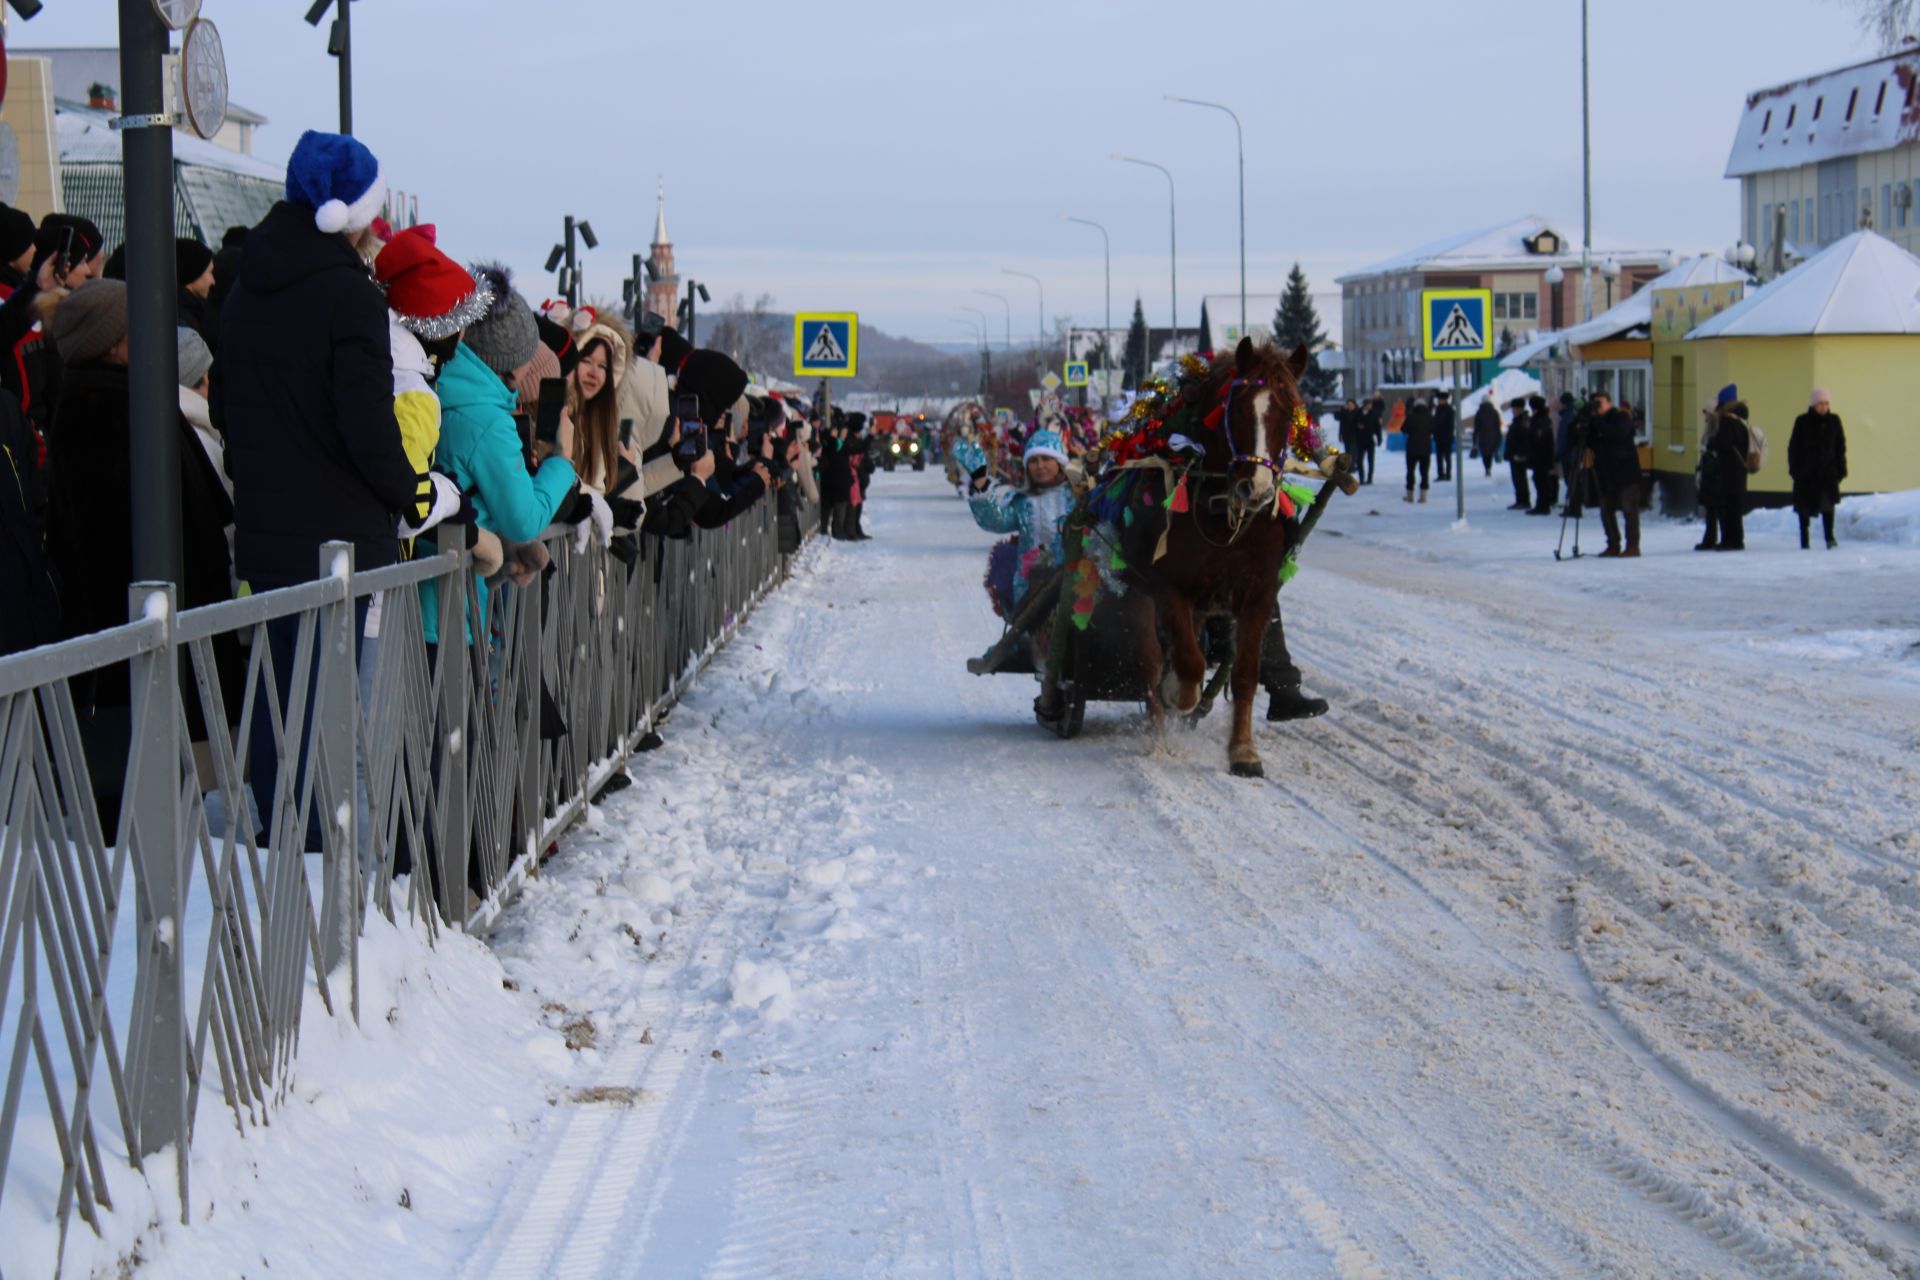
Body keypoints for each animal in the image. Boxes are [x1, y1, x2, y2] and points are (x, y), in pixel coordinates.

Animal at [1121, 339, 1344, 775]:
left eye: (1288, 413)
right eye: (1238, 408)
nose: (1255, 489)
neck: (1225, 517)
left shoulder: (1258, 595)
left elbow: (1244, 674)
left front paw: (1243, 750)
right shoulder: (1170, 589)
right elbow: (1187, 666)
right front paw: (1180, 696)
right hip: (1139, 597)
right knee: (1150, 663)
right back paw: (1162, 729)